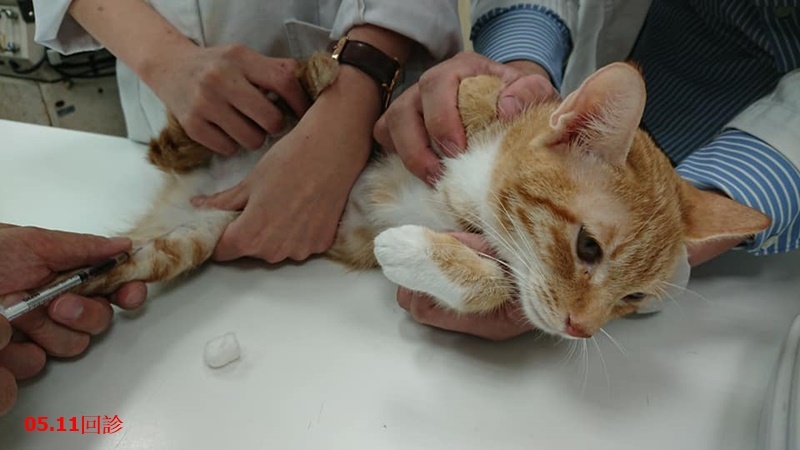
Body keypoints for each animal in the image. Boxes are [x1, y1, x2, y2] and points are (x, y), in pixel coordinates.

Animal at [76, 54, 770, 340]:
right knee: (204, 133)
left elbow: (494, 282)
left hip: (191, 236)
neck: (473, 194)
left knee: (130, 257)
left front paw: (407, 249)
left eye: (633, 300)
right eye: (588, 247)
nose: (581, 330)